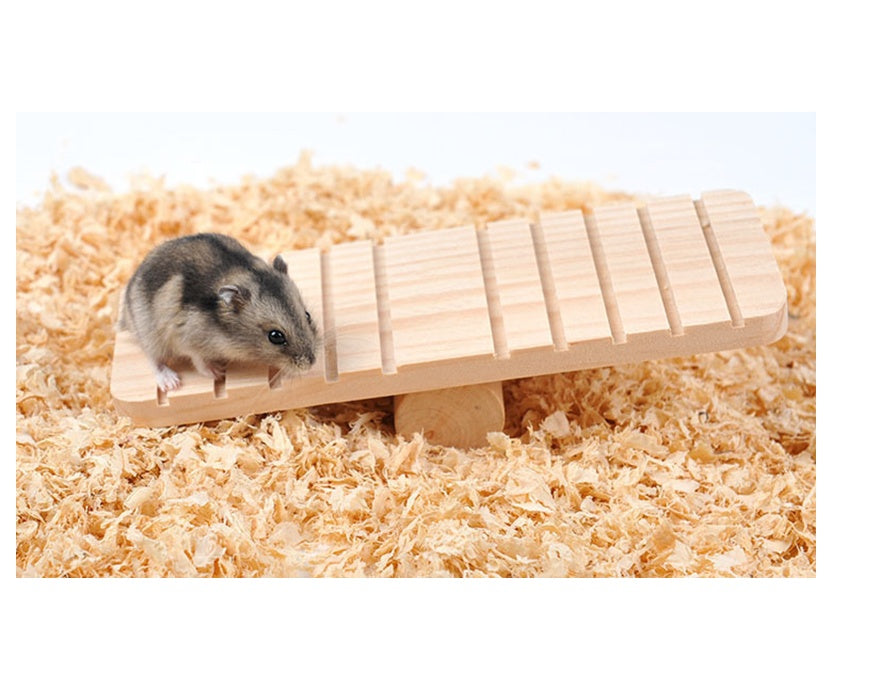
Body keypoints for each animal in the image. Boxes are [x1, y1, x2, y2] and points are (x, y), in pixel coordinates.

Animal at [118, 233, 319, 392]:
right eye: (275, 336)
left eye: (307, 315)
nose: (311, 364)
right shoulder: (187, 339)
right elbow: (199, 360)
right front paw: (219, 372)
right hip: (149, 333)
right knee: (154, 359)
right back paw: (171, 382)